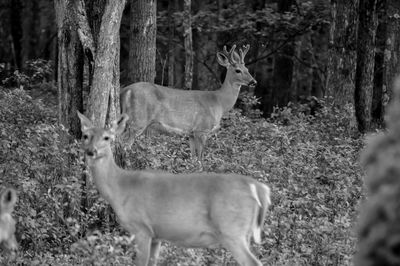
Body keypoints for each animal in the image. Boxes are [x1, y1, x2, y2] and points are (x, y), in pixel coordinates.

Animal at [77, 111, 272, 266]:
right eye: (85, 135)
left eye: (106, 137)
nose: (91, 151)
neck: (119, 188)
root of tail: (258, 187)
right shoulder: (156, 235)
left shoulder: (141, 228)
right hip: (242, 232)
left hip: (232, 229)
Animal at [120, 43, 256, 162]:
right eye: (238, 70)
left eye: (247, 68)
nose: (253, 82)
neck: (220, 103)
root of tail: (125, 90)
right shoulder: (202, 129)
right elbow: (201, 159)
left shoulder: (191, 133)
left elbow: (193, 158)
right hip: (138, 120)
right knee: (125, 145)